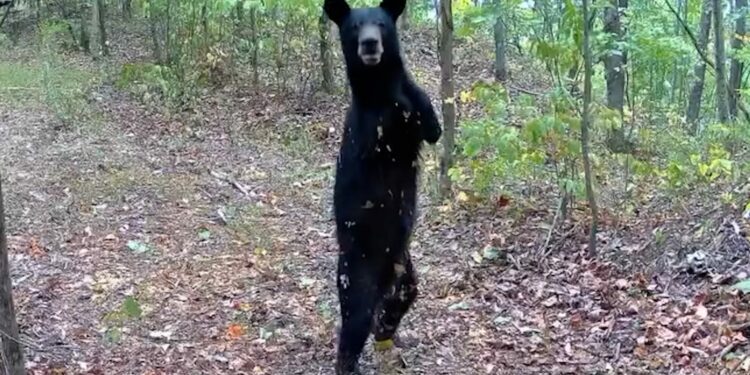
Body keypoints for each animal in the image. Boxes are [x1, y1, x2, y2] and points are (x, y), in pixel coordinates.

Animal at [322, 0, 440, 374]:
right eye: (354, 27)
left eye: (381, 24)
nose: (370, 44)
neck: (378, 84)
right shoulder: (370, 127)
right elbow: (382, 132)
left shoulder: (417, 113)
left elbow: (430, 123)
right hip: (357, 271)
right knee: (354, 323)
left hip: (403, 265)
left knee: (404, 294)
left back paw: (385, 328)